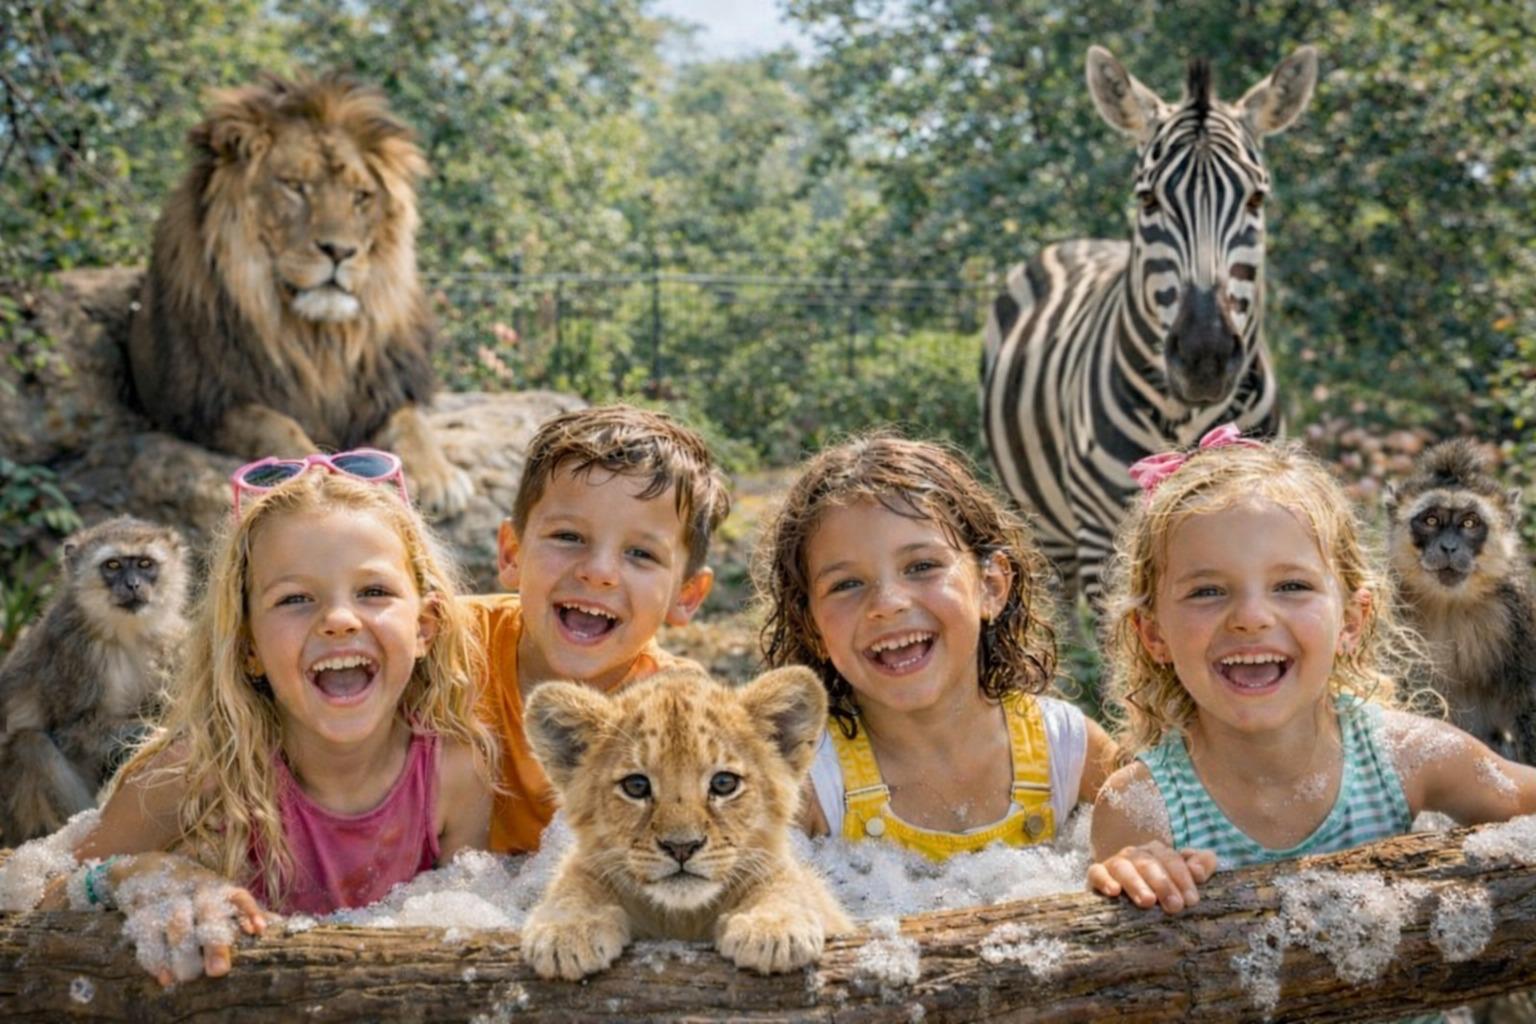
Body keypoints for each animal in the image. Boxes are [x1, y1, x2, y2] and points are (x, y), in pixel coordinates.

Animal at [0, 516, 189, 844]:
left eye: (145, 563)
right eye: (112, 565)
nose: (133, 584)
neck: (124, 634)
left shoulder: (171, 641)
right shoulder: (74, 652)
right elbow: (72, 730)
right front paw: (154, 730)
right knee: (30, 744)